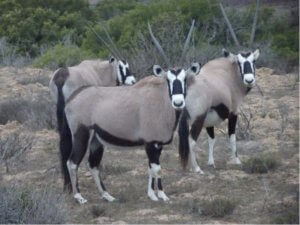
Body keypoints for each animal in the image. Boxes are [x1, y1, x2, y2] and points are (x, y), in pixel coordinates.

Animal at [59, 21, 199, 204]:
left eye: (185, 79)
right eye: (168, 79)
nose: (178, 102)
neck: (161, 99)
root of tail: (73, 98)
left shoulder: (157, 144)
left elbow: (151, 168)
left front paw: (154, 194)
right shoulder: (150, 143)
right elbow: (157, 168)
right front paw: (160, 195)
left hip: (96, 139)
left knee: (93, 164)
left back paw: (107, 195)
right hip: (81, 135)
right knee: (72, 162)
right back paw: (79, 197)